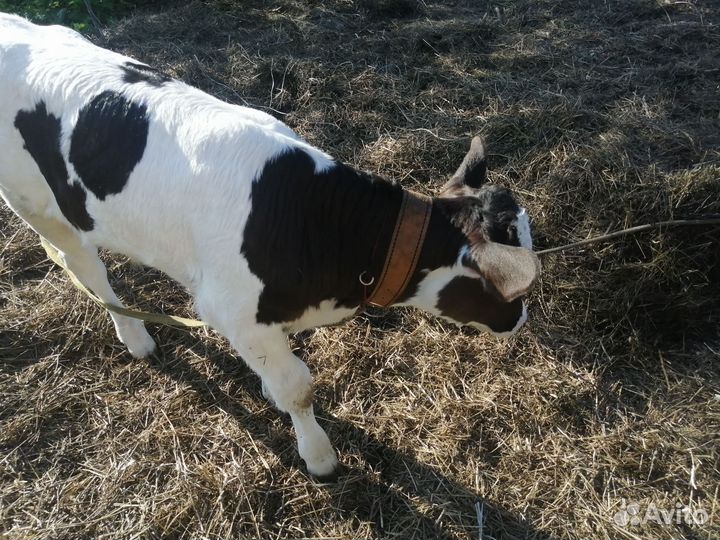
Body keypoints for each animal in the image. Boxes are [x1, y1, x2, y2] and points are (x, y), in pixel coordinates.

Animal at [0, 13, 539, 480]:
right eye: (510, 287)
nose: (521, 320)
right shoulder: (234, 309)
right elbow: (298, 390)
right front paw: (319, 458)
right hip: (38, 205)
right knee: (87, 269)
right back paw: (136, 338)